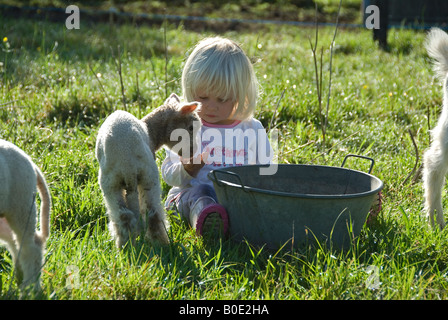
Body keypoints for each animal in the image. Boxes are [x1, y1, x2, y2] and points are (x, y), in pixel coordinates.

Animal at [96, 92, 200, 248]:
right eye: (191, 127)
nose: (193, 152)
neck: (151, 132)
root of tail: (127, 162)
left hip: (110, 183)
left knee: (124, 216)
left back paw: (125, 246)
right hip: (149, 176)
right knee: (152, 213)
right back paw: (161, 243)